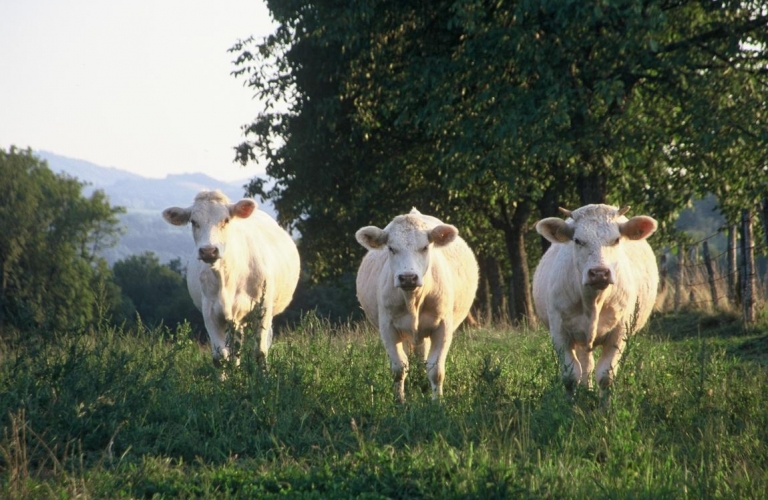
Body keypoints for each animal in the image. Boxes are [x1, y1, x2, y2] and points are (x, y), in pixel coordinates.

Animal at [162, 189, 300, 366]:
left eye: (226, 220)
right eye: (193, 222)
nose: (208, 251)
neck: (227, 278)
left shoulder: (263, 309)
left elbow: (260, 353)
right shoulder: (210, 312)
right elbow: (220, 357)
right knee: (235, 350)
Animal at [356, 208, 476, 402]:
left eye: (425, 247)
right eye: (391, 248)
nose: (408, 277)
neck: (413, 301)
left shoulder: (443, 327)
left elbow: (435, 370)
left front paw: (437, 402)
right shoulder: (387, 327)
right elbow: (399, 368)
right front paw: (400, 401)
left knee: (422, 357)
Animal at [536, 203, 660, 398]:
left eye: (616, 240)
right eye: (577, 240)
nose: (599, 273)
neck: (593, 302)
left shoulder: (620, 332)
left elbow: (605, 376)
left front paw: (604, 405)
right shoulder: (559, 332)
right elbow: (571, 376)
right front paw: (570, 403)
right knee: (586, 365)